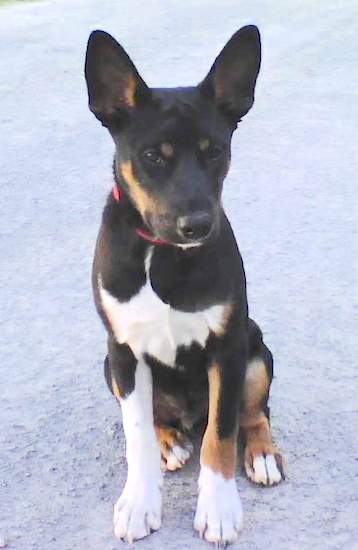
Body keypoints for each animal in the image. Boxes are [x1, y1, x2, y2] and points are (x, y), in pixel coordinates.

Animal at [85, 24, 284, 548]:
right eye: (153, 156)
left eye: (216, 152)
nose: (196, 225)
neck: (164, 255)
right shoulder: (123, 351)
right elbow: (135, 432)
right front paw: (139, 502)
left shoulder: (226, 347)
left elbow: (221, 434)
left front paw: (218, 509)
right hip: (110, 367)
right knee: (158, 418)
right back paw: (169, 441)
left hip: (256, 345)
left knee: (251, 413)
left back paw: (261, 452)